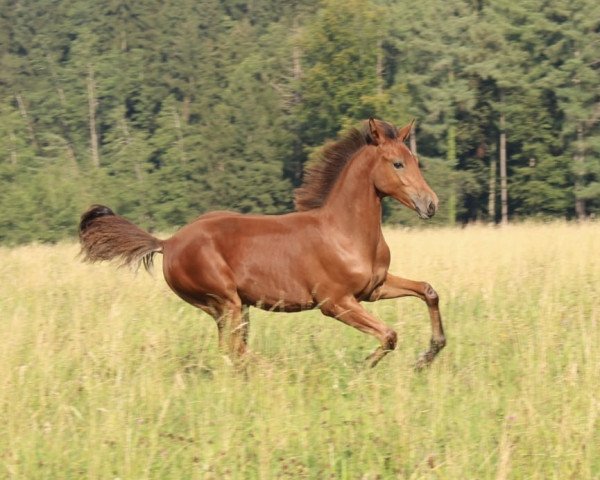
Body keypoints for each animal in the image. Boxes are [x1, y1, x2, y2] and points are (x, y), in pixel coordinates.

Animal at [78, 119, 446, 368]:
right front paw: (363, 368)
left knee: (232, 350)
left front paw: (428, 355)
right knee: (234, 349)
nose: (431, 204)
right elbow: (389, 335)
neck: (346, 232)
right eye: (397, 163)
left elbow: (428, 291)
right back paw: (274, 373)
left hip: (233, 308)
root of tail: (167, 243)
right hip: (225, 302)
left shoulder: (374, 289)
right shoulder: (335, 302)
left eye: (416, 161)